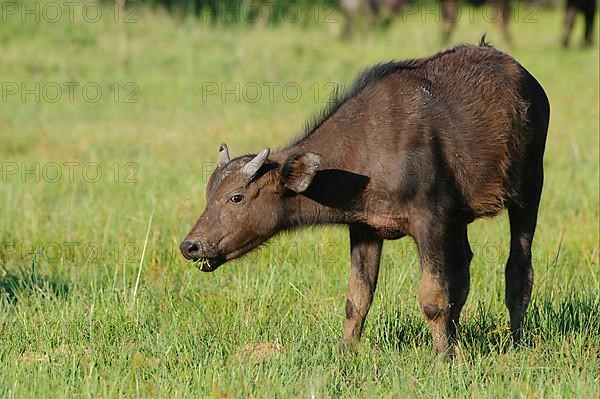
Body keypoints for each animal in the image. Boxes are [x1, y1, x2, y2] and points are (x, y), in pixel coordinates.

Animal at [180, 40, 552, 358]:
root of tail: (530, 84)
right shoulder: (365, 229)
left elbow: (432, 296)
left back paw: (516, 341)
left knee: (518, 268)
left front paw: (443, 357)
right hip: (460, 220)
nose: (190, 246)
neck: (366, 151)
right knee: (462, 271)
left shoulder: (430, 222)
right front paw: (346, 351)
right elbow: (357, 298)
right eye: (209, 193)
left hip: (529, 191)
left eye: (237, 197)